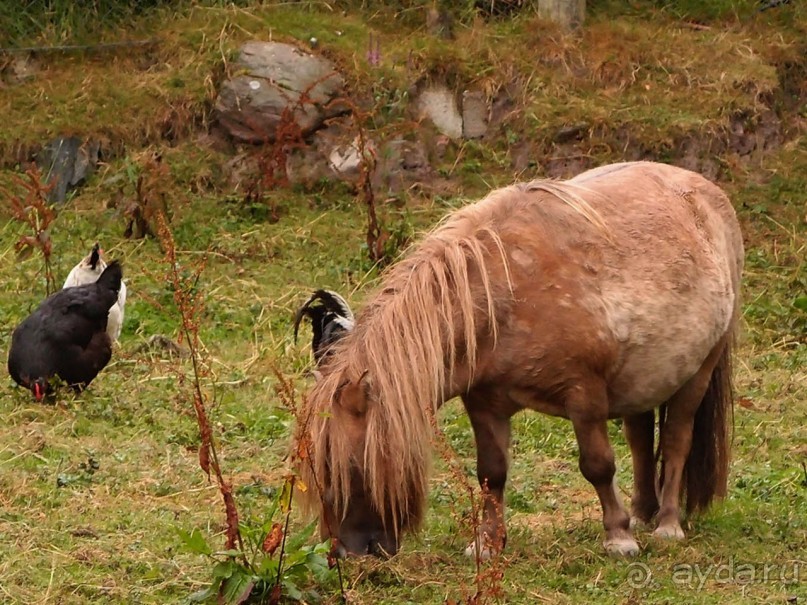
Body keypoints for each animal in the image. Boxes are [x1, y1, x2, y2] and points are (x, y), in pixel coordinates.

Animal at [298, 162, 744, 556]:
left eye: (342, 465)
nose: (345, 552)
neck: (505, 293)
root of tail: (710, 194)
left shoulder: (584, 396)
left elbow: (598, 465)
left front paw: (618, 537)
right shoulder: (484, 403)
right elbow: (491, 472)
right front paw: (487, 544)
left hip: (699, 371)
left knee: (677, 438)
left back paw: (666, 523)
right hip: (643, 378)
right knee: (639, 437)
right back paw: (642, 512)